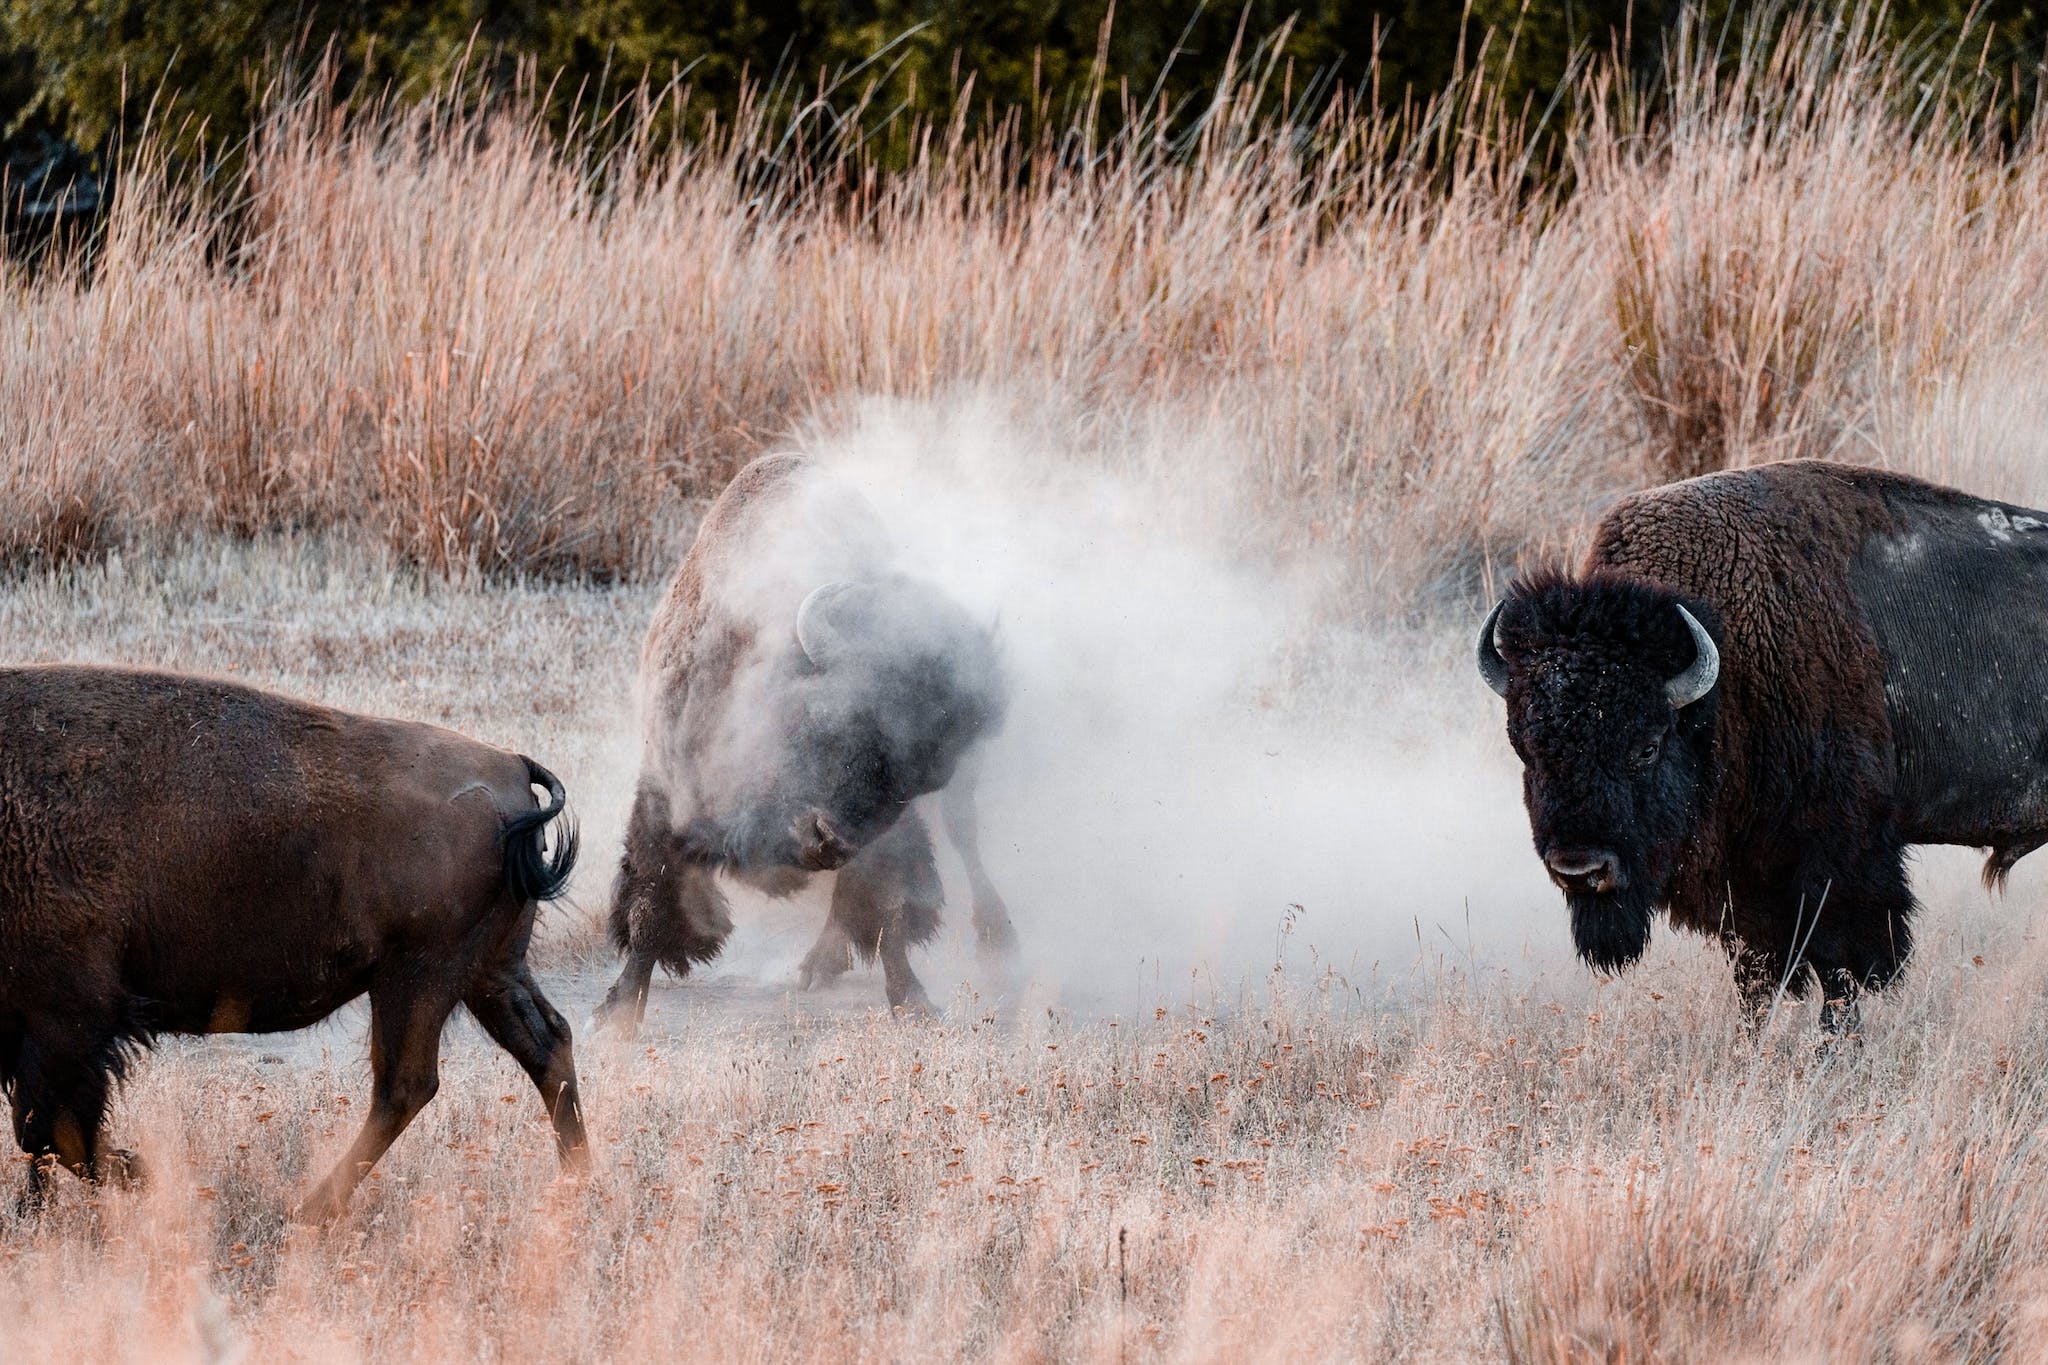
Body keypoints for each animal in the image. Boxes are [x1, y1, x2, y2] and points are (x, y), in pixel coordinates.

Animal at [0, 665, 585, 1216]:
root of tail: (511, 767)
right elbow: (41, 1133)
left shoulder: (68, 1016)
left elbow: (49, 1131)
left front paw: (144, 1177)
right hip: (487, 971)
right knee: (545, 1042)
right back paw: (578, 1179)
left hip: (419, 977)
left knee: (406, 1084)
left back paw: (310, 1210)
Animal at [596, 453, 1012, 1028]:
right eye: (839, 718)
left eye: (919, 778)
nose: (831, 840)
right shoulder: (665, 789)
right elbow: (651, 902)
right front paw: (614, 1017)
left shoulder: (894, 833)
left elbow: (887, 908)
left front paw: (913, 1001)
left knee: (962, 835)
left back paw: (993, 932)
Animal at [1478, 459, 2048, 1030]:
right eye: (1526, 750)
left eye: (1647, 747)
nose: (1579, 870)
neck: (1727, 663)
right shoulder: (1747, 890)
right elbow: (1757, 978)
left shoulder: (1838, 866)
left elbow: (1841, 974)